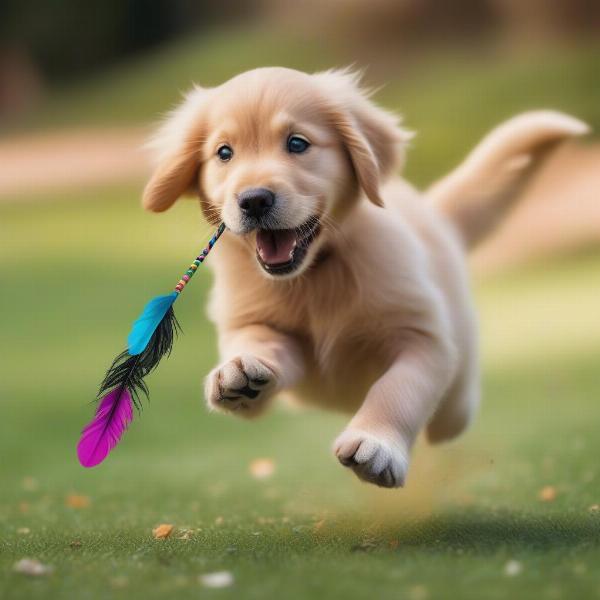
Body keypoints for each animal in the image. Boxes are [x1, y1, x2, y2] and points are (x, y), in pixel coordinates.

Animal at [144, 67, 584, 488]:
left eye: (297, 144)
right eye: (224, 153)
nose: (253, 200)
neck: (315, 273)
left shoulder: (424, 338)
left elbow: (398, 388)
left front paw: (377, 445)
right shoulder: (259, 323)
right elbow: (259, 341)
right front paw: (239, 372)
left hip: (457, 378)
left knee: (453, 412)